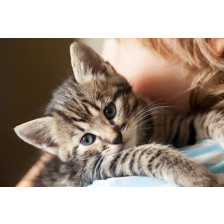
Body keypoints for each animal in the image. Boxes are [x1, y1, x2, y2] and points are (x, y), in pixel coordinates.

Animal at [14, 42, 224, 187]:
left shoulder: (173, 126)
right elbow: (140, 153)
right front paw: (193, 174)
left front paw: (221, 127)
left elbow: (205, 119)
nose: (117, 138)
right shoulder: (88, 168)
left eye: (110, 111)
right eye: (87, 139)